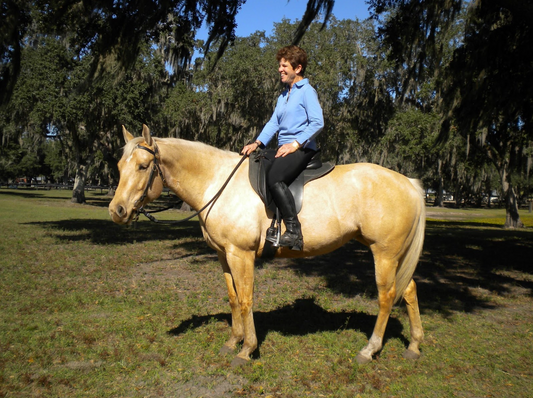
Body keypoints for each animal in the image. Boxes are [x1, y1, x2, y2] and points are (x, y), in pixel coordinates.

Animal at [108, 124, 424, 366]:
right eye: (120, 166)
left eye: (143, 166)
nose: (117, 210)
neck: (217, 183)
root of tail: (408, 182)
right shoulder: (224, 255)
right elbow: (233, 297)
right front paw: (233, 341)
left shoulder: (241, 254)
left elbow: (246, 299)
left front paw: (247, 349)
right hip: (395, 255)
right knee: (409, 289)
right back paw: (414, 345)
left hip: (384, 253)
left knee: (387, 296)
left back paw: (369, 350)